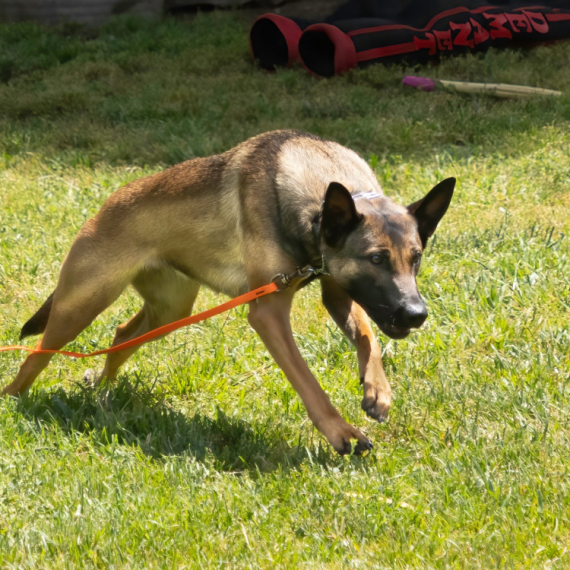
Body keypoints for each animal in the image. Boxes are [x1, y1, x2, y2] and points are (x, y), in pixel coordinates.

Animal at [1, 129, 452, 452]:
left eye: (416, 258)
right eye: (376, 259)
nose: (416, 314)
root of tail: (106, 205)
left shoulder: (335, 287)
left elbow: (367, 336)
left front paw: (378, 389)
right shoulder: (268, 313)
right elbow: (309, 382)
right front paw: (342, 433)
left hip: (171, 310)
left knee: (122, 334)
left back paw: (103, 391)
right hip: (80, 306)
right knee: (34, 358)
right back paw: (13, 400)